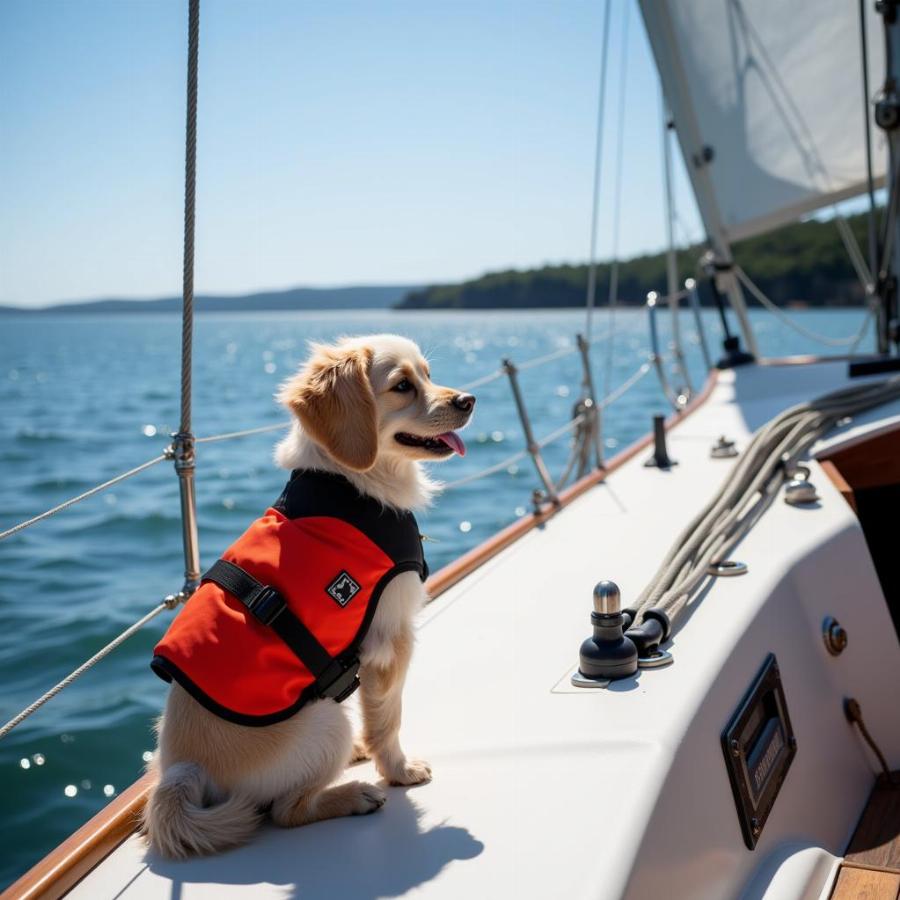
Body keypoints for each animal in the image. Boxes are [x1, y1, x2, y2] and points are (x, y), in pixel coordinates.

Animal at [142, 332, 472, 856]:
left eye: (428, 374)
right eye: (402, 386)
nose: (468, 400)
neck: (353, 483)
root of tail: (184, 772)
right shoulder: (391, 639)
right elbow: (389, 718)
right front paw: (399, 771)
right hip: (324, 722)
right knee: (285, 811)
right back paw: (354, 794)